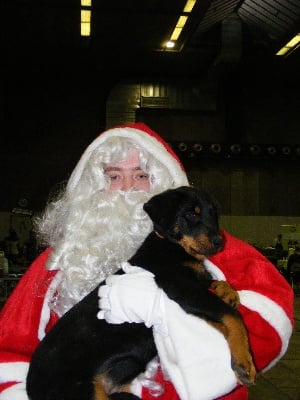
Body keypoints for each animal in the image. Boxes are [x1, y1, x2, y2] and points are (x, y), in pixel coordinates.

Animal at [26, 187, 255, 400]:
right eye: (191, 214)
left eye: (213, 213)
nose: (220, 242)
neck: (172, 247)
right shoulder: (179, 287)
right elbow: (232, 316)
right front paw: (244, 361)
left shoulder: (192, 291)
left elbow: (219, 291)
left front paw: (229, 293)